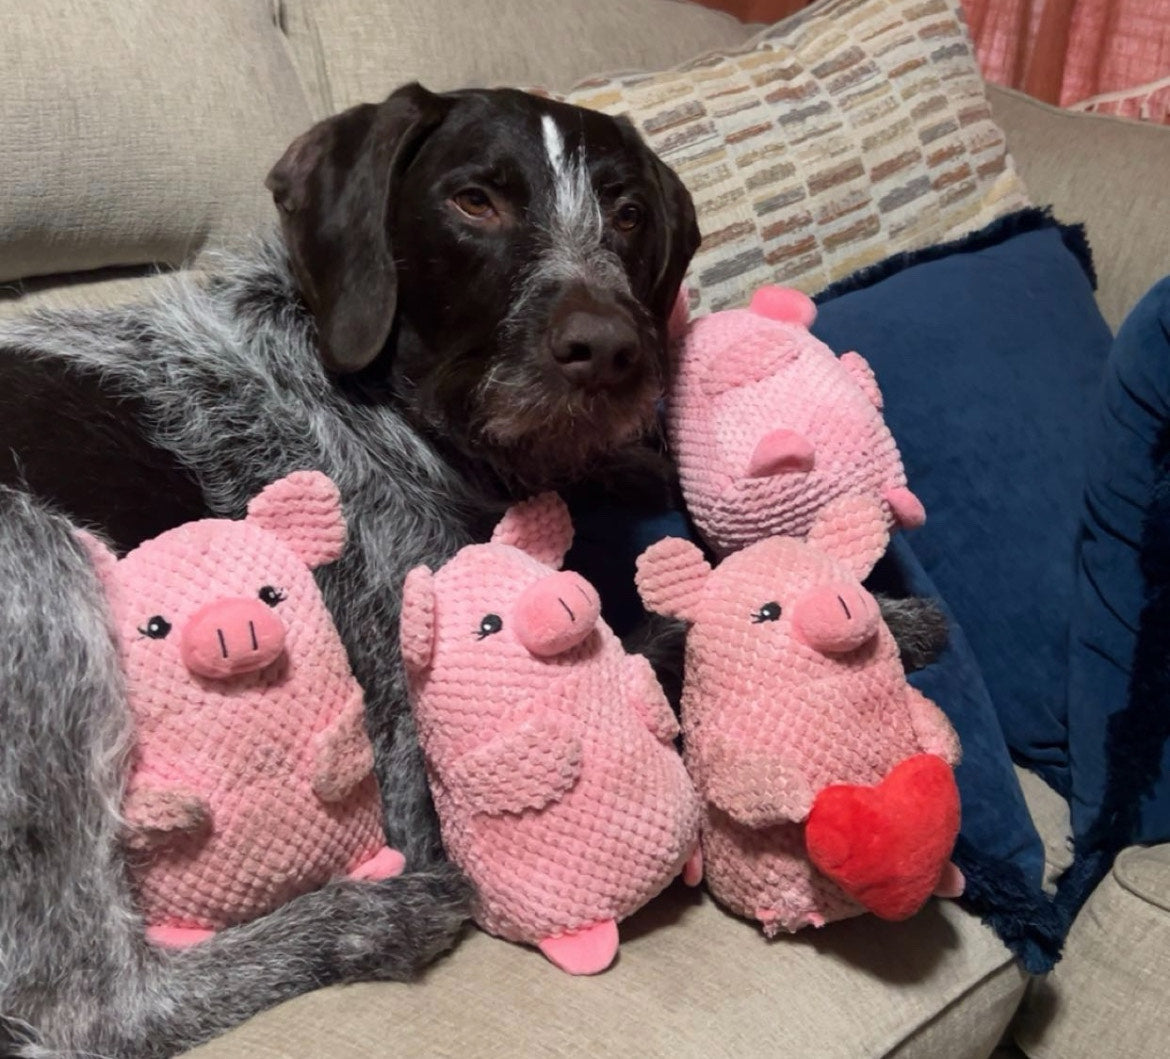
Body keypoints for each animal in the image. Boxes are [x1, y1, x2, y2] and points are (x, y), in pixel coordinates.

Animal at [0, 82, 943, 1057]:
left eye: (629, 214)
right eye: (473, 202)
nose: (612, 349)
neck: (389, 407)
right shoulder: (398, 751)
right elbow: (658, 647)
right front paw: (882, 619)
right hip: (41, 575)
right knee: (95, 1006)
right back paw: (370, 918)